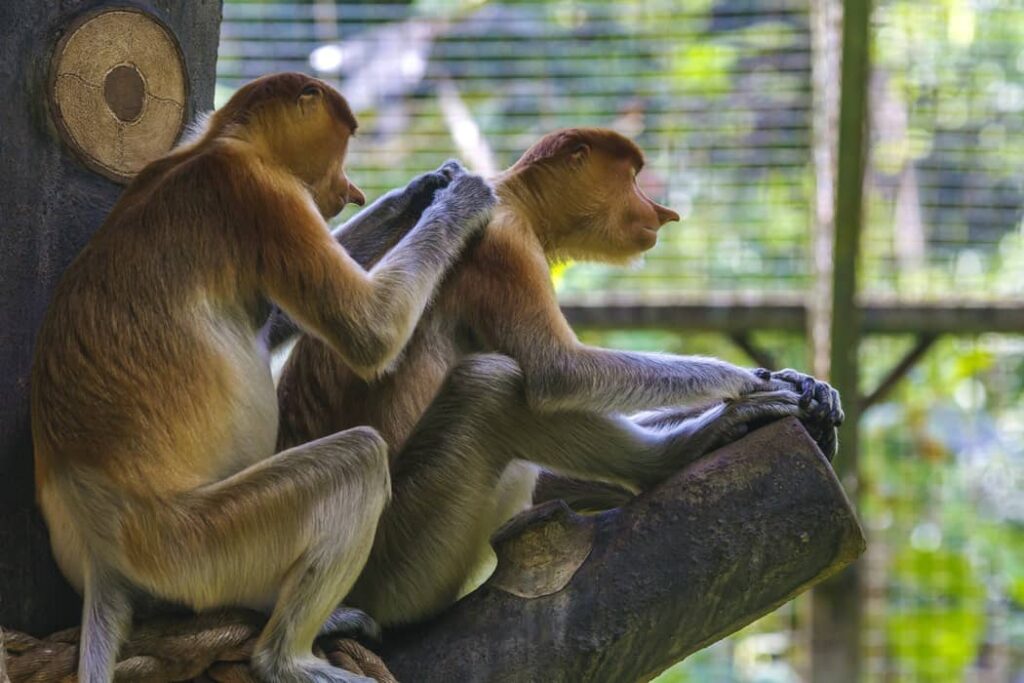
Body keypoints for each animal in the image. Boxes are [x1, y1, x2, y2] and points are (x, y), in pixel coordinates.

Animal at [30, 72, 496, 683]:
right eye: (344, 143)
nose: (349, 190)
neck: (220, 143)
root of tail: (100, 549)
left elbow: (277, 321)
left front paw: (419, 191)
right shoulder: (260, 195)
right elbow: (367, 331)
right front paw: (461, 198)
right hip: (196, 545)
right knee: (357, 461)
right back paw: (288, 659)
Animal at [273, 127, 843, 627]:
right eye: (632, 177)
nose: (664, 212)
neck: (518, 199)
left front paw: (808, 389)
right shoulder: (504, 242)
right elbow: (557, 371)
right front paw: (746, 383)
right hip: (395, 560)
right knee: (490, 387)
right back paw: (679, 452)